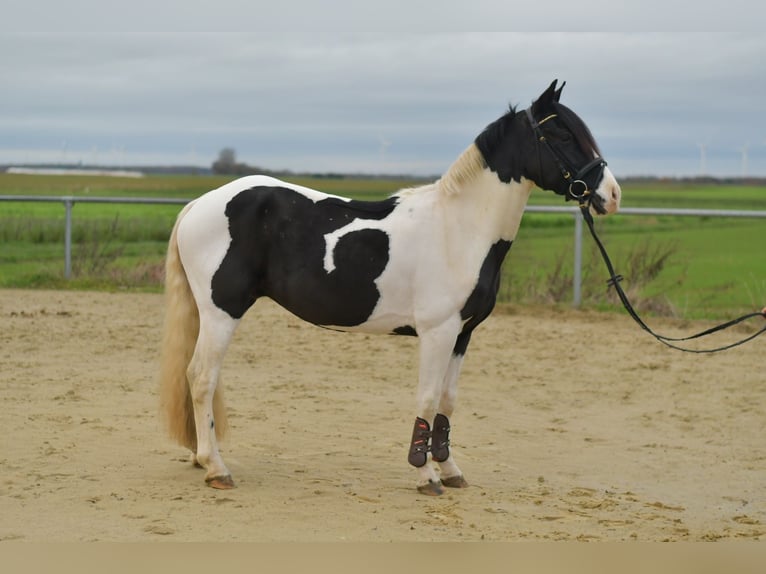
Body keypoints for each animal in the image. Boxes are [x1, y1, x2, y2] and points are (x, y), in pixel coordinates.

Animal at [159, 80, 621, 495]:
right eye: (561, 134)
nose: (612, 195)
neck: (459, 229)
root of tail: (200, 204)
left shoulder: (463, 334)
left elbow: (448, 401)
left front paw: (450, 470)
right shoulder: (437, 332)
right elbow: (427, 398)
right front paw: (426, 475)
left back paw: (202, 457)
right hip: (222, 311)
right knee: (201, 377)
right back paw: (217, 468)